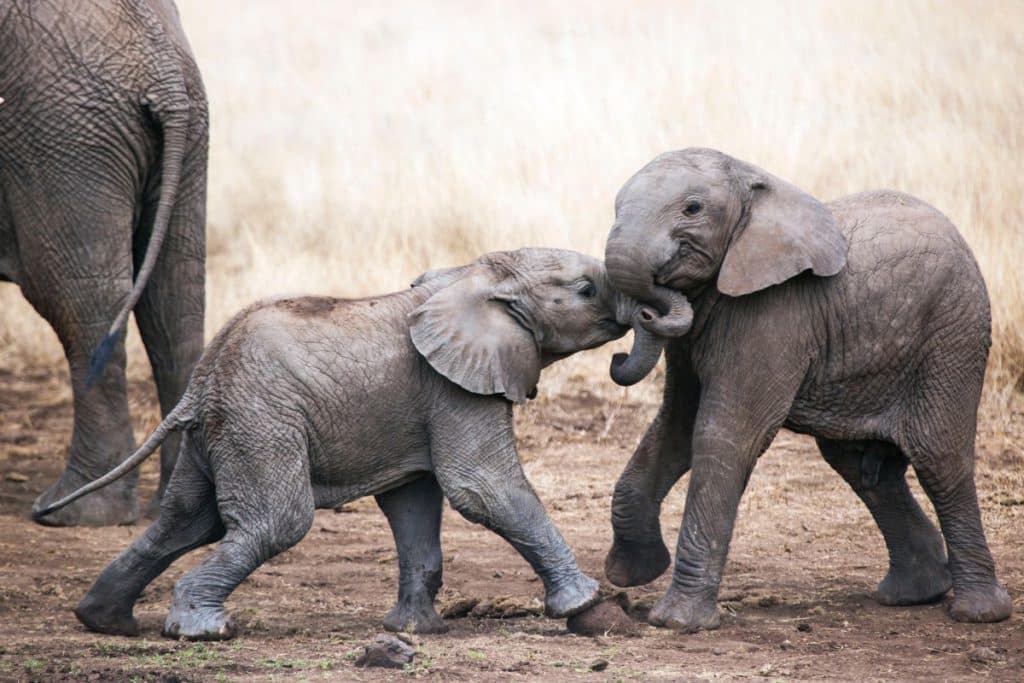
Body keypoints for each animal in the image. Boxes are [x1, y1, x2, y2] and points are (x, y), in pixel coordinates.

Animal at [0, 0, 208, 526]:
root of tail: (166, 73)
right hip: (180, 136)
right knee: (175, 297)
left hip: (61, 135)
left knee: (78, 302)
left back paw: (72, 511)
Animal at [36, 248, 685, 640]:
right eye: (584, 289)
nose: (624, 352)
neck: (478, 272)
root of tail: (202, 381)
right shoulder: (453, 387)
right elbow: (482, 490)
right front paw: (594, 613)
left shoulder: (421, 401)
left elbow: (414, 502)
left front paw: (412, 631)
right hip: (260, 419)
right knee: (276, 521)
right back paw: (201, 629)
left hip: (222, 430)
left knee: (187, 521)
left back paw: (104, 621)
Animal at [601, 148, 1012, 631]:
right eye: (616, 205)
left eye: (692, 209)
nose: (617, 353)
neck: (755, 184)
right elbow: (674, 428)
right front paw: (632, 573)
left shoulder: (775, 311)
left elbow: (723, 436)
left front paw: (676, 622)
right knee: (858, 464)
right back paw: (914, 592)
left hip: (953, 333)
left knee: (939, 458)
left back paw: (979, 612)